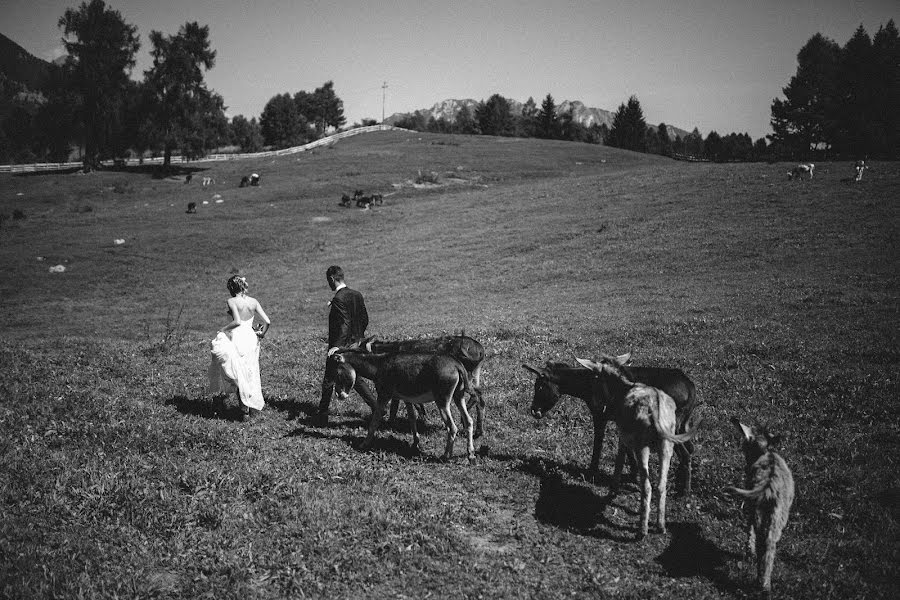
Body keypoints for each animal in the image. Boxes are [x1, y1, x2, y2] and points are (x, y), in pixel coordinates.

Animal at [326, 350, 478, 462]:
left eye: (336, 372)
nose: (339, 395)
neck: (379, 364)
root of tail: (456, 365)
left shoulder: (384, 395)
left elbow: (375, 420)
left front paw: (364, 444)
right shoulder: (406, 399)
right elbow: (412, 419)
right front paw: (415, 443)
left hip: (442, 401)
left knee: (452, 427)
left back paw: (446, 456)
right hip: (459, 397)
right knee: (469, 421)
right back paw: (470, 454)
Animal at [520, 354, 696, 494]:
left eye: (540, 386)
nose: (534, 411)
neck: (588, 383)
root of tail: (690, 386)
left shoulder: (600, 417)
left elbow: (598, 444)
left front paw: (591, 473)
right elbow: (628, 450)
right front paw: (634, 475)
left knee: (685, 454)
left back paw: (684, 491)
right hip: (681, 426)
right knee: (690, 449)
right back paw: (680, 484)